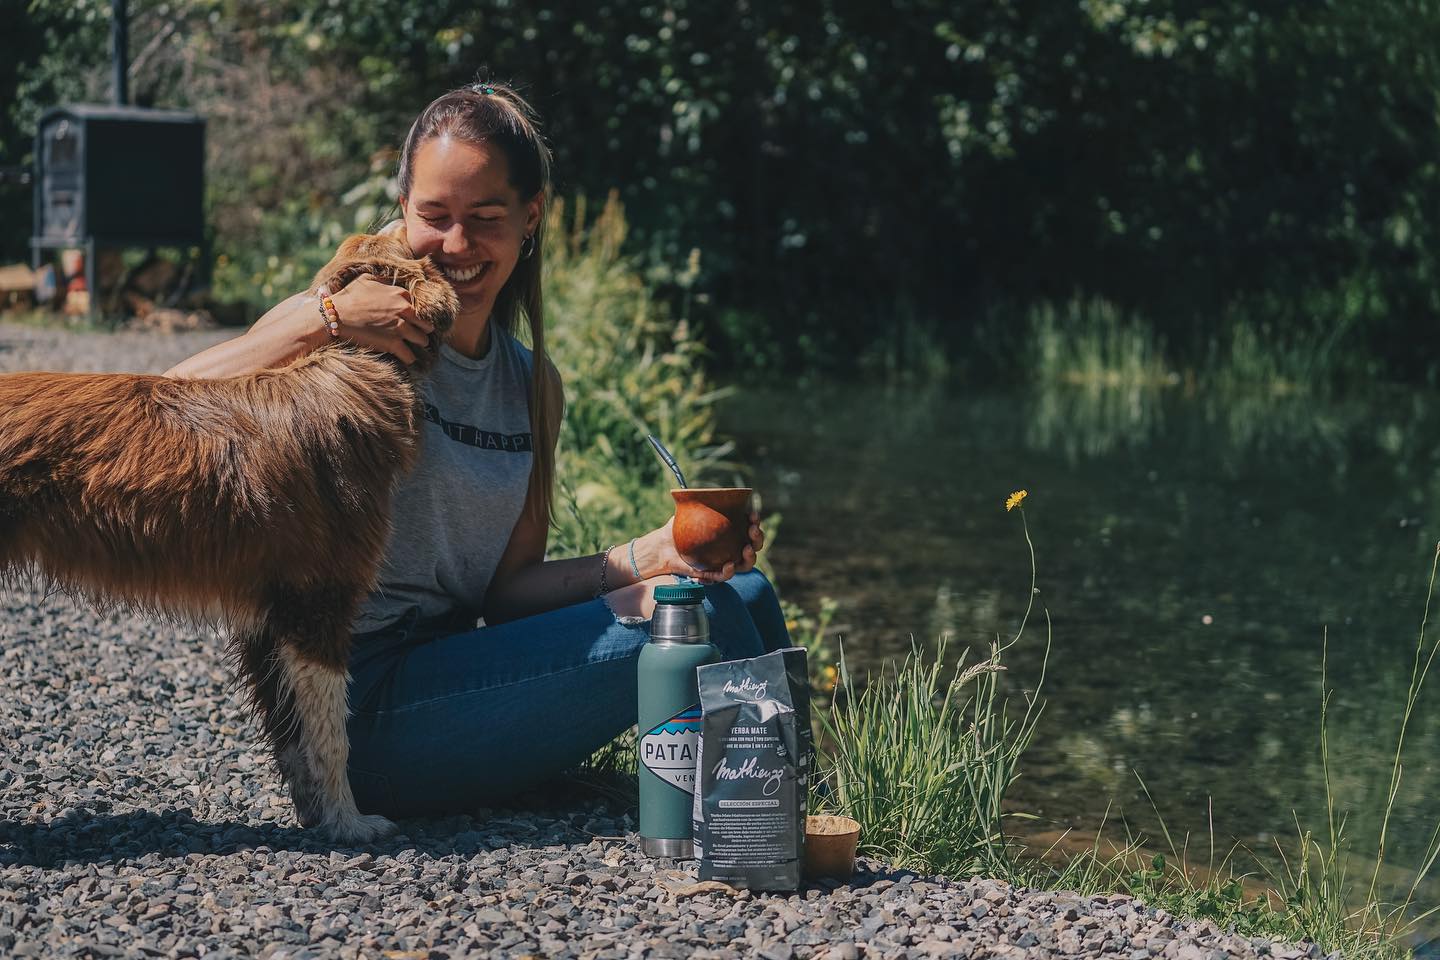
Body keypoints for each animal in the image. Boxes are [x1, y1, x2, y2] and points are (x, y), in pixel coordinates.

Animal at [0, 233, 455, 840]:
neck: (351, 369)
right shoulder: (320, 601)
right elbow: (331, 734)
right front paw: (349, 823)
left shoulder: (268, 619)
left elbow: (291, 735)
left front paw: (317, 816)